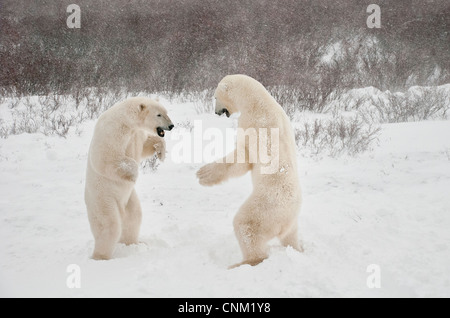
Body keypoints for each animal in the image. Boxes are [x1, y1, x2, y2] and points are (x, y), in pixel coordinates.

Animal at [84, 97, 174, 260]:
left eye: (166, 112)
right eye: (159, 114)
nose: (171, 125)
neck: (126, 120)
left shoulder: (135, 133)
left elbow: (145, 145)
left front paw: (161, 153)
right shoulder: (113, 131)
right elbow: (106, 157)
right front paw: (133, 175)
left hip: (129, 199)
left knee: (133, 217)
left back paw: (133, 243)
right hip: (103, 199)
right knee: (109, 225)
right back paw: (100, 256)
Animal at [197, 74, 302, 268]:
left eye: (215, 97)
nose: (216, 112)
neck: (257, 101)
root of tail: (286, 219)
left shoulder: (252, 125)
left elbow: (242, 158)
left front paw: (204, 174)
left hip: (265, 208)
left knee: (246, 225)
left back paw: (245, 262)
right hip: (291, 221)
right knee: (290, 237)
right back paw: (298, 249)